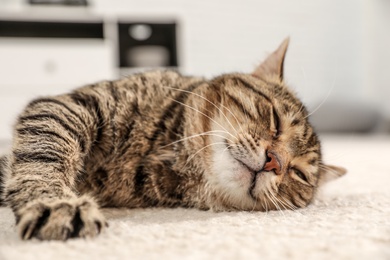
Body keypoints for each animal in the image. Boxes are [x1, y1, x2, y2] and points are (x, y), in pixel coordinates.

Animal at [0, 38, 346, 240]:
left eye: (297, 173)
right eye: (275, 120)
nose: (275, 162)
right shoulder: (68, 107)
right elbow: (43, 153)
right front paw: (55, 202)